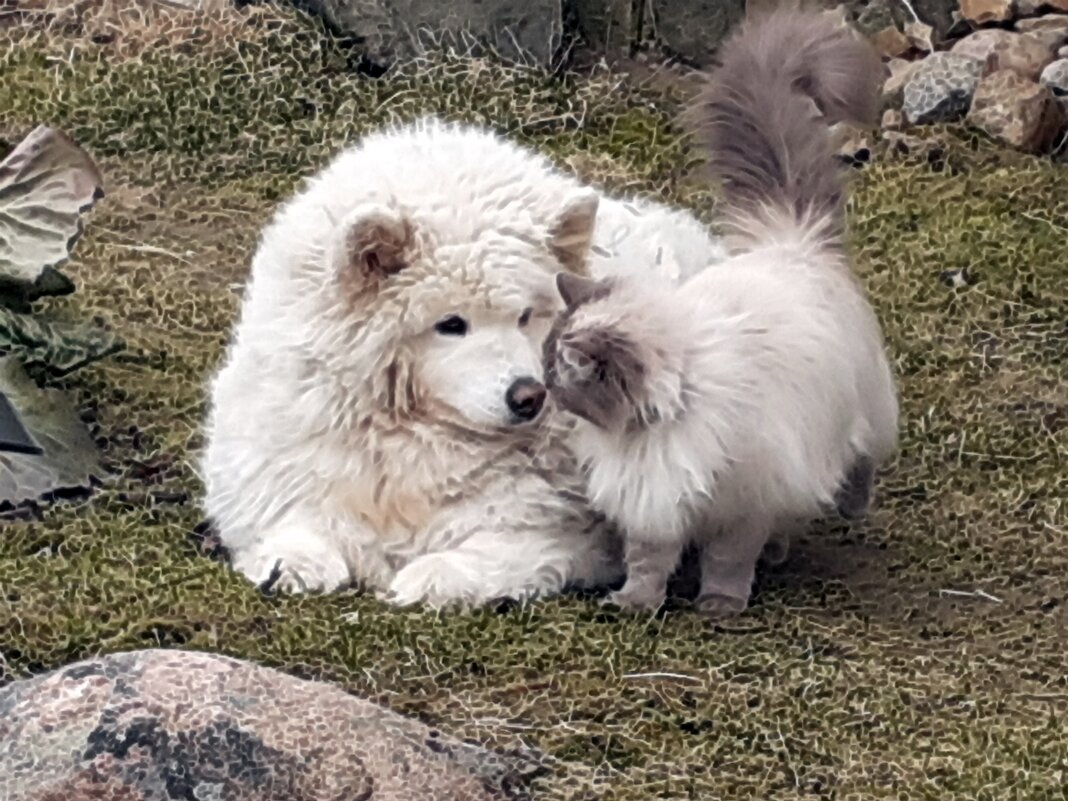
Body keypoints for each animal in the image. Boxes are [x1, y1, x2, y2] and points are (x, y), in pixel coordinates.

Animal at [200, 119, 726, 606]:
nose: (528, 396)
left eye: (525, 316)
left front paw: (435, 577)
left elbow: (505, 544)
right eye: (451, 324)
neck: (417, 441)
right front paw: (293, 562)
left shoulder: (565, 529)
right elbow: (294, 515)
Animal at [542, 9, 901, 619]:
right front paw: (635, 604)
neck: (655, 428)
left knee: (861, 460)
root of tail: (793, 240)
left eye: (557, 373)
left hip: (858, 412)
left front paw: (719, 606)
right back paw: (780, 552)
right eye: (545, 362)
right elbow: (647, 564)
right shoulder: (653, 502)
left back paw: (846, 509)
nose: (541, 390)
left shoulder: (742, 503)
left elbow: (728, 561)